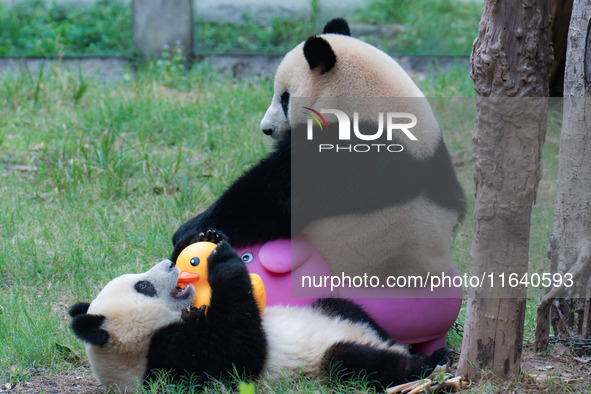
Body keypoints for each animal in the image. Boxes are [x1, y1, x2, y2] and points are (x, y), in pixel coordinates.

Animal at [70, 239, 448, 392]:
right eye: (144, 287)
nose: (168, 263)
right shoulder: (172, 363)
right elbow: (239, 352)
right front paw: (224, 263)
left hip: (334, 310)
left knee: (348, 310)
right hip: (325, 368)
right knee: (352, 362)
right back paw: (429, 366)